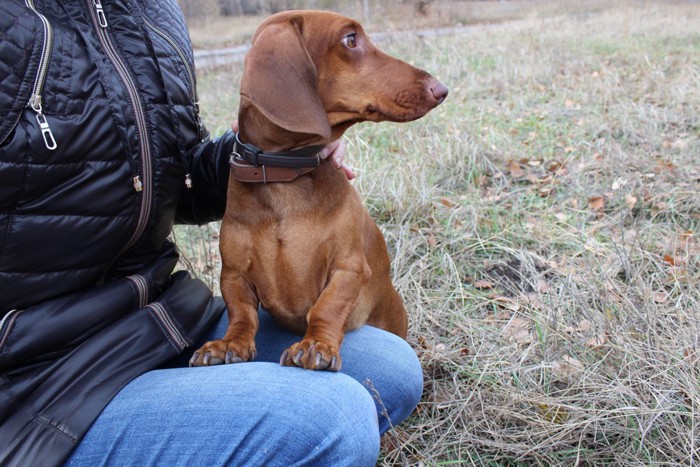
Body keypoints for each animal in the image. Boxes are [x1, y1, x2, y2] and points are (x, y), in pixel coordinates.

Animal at [189, 9, 446, 372]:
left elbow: (327, 307)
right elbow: (241, 313)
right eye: (350, 39)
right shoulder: (234, 274)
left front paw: (315, 345)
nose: (441, 89)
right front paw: (229, 344)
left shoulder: (348, 267)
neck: (283, 174)